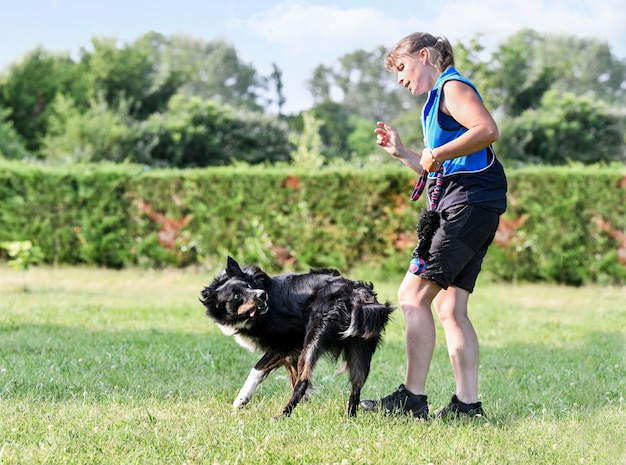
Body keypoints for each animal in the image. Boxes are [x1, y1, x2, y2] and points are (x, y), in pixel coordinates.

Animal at [200, 258, 392, 416]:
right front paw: (307, 403)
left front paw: (241, 400)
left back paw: (281, 416)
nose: (262, 294)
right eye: (236, 296)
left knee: (303, 381)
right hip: (360, 350)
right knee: (356, 389)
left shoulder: (286, 342)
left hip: (314, 337)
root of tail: (356, 292)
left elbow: (257, 369)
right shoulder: (291, 352)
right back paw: (349, 418)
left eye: (248, 286)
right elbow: (293, 376)